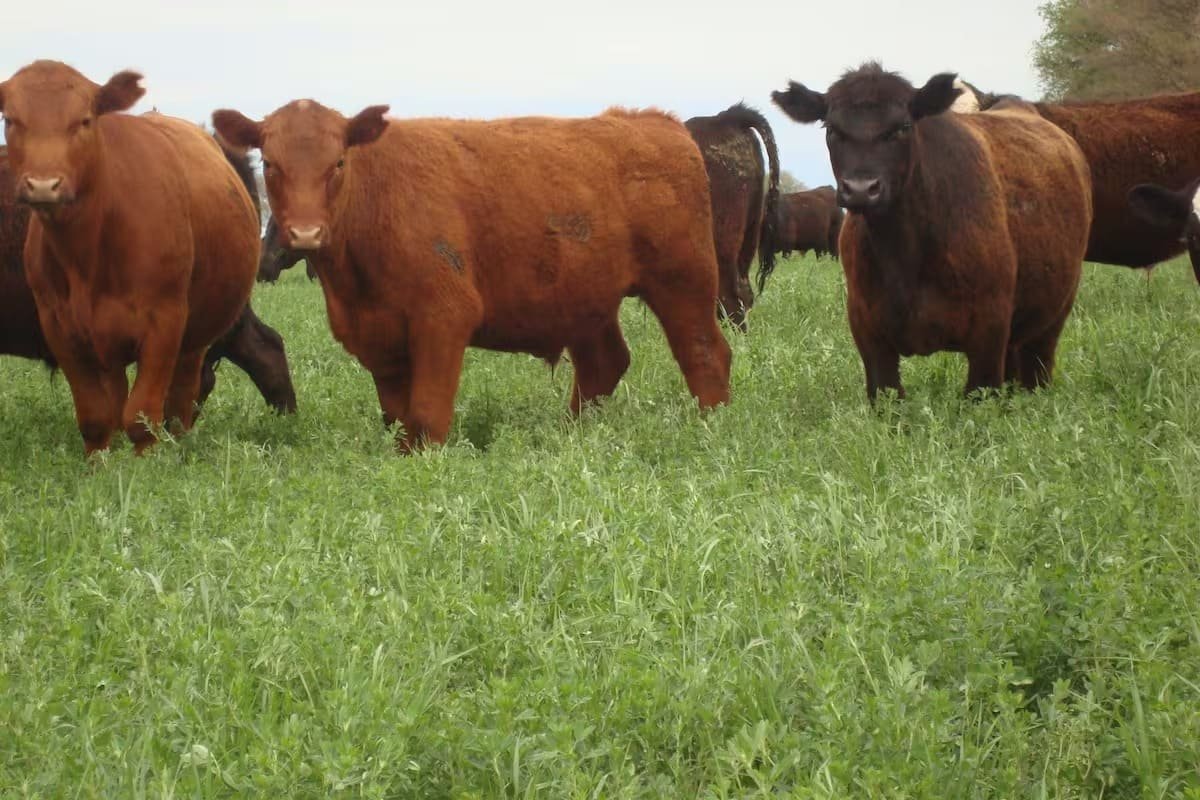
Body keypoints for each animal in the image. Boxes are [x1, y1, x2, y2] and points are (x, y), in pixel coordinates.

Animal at [0, 61, 260, 454]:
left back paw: (179, 446)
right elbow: (95, 416)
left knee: (182, 397)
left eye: (84, 120)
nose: (44, 185)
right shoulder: (58, 327)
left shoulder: (165, 322)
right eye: (11, 120)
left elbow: (142, 414)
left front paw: (146, 463)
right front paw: (99, 464)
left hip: (196, 338)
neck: (88, 254)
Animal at [213, 100, 732, 452]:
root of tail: (652, 121)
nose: (305, 232)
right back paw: (571, 434)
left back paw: (712, 428)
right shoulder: (377, 336)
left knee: (705, 354)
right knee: (604, 363)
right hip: (585, 298)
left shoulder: (444, 317)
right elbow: (397, 414)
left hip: (684, 283)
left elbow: (426, 412)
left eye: (338, 162)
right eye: (271, 164)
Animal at [772, 63, 1092, 399]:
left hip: (1052, 318)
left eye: (902, 127)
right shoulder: (869, 334)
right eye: (832, 130)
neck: (905, 256)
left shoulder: (989, 333)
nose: (861, 189)